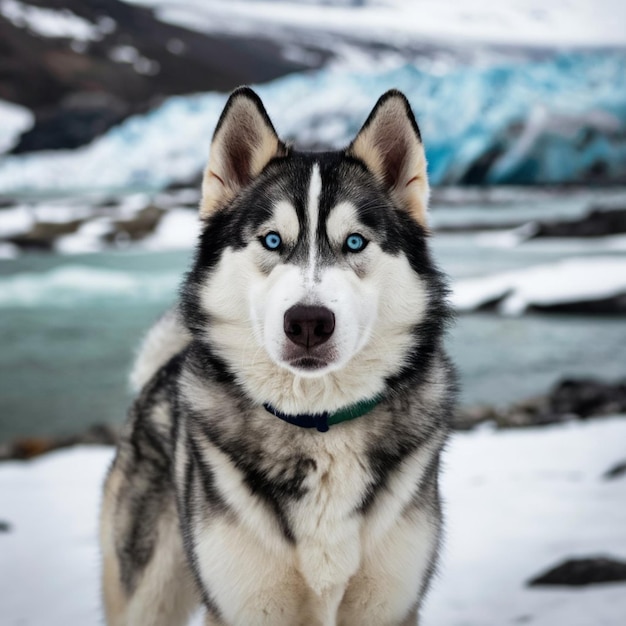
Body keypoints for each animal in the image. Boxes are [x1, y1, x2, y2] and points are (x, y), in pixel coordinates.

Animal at [101, 86, 454, 624]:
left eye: (355, 242)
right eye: (272, 240)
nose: (308, 321)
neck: (318, 425)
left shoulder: (389, 606)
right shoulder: (246, 605)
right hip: (147, 592)